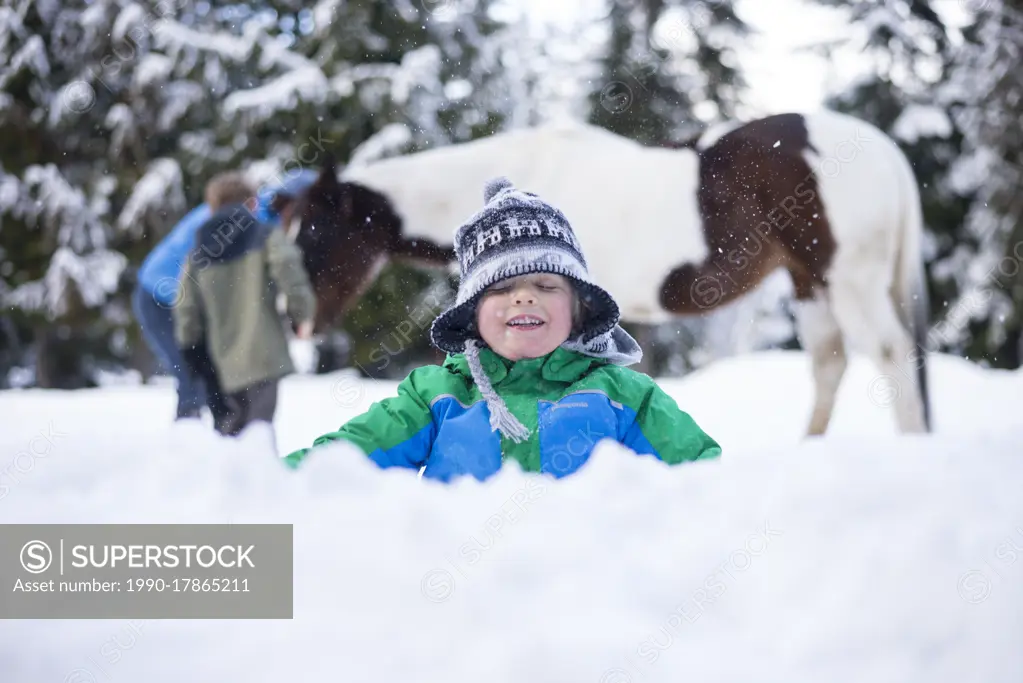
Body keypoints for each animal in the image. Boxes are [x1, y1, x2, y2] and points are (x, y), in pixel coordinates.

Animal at [290, 109, 937, 435]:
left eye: (318, 236)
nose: (300, 326)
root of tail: (883, 149)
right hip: (810, 282)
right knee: (830, 363)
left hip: (848, 280)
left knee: (888, 352)